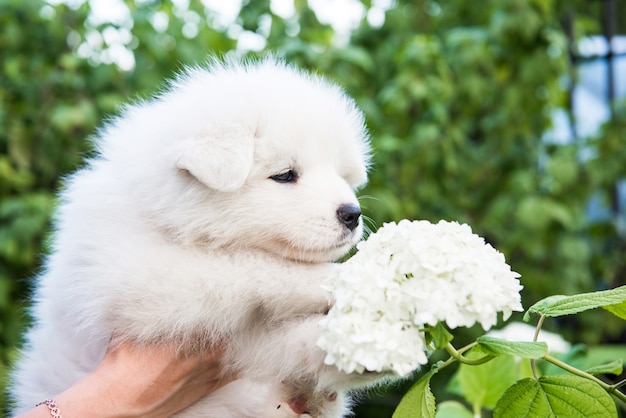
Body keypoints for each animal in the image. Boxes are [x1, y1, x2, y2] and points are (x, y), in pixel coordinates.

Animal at [9, 56, 378, 418]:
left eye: (341, 175)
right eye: (286, 175)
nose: (352, 214)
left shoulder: (242, 343)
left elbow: (292, 343)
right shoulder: (144, 280)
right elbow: (258, 267)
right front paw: (344, 278)